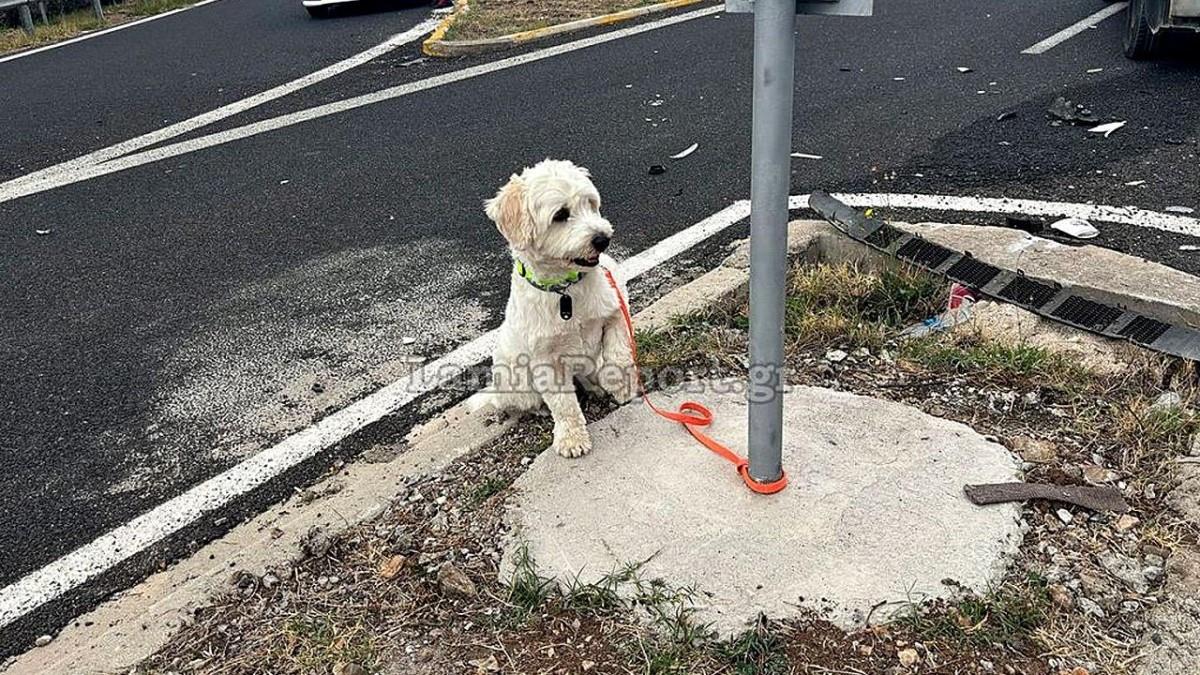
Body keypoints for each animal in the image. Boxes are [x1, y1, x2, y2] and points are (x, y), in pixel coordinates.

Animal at [465, 157, 638, 456]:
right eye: (560, 214)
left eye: (590, 204)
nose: (602, 238)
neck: (565, 290)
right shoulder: (546, 361)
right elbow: (563, 404)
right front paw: (572, 439)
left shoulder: (615, 308)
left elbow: (618, 354)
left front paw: (620, 387)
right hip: (518, 383)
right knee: (525, 403)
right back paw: (540, 410)